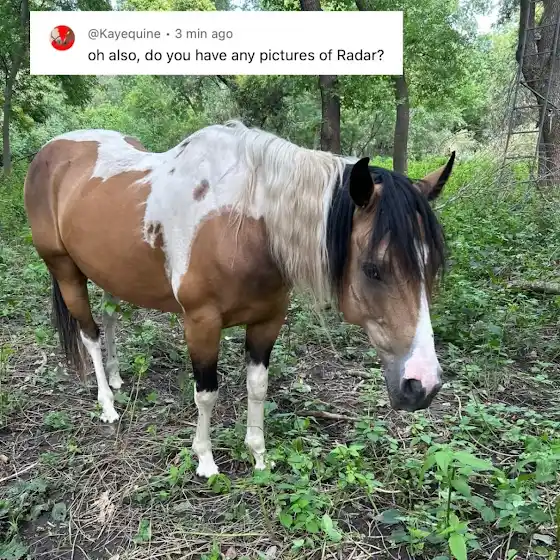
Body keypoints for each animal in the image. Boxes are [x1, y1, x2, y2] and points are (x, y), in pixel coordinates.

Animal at [23, 120, 455, 478]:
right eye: (373, 269)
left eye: (431, 266)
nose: (424, 385)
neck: (244, 227)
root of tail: (51, 151)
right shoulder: (201, 323)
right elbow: (206, 393)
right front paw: (205, 460)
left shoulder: (268, 320)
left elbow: (257, 386)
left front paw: (259, 455)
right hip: (66, 270)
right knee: (89, 333)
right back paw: (108, 405)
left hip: (112, 272)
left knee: (110, 318)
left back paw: (115, 378)